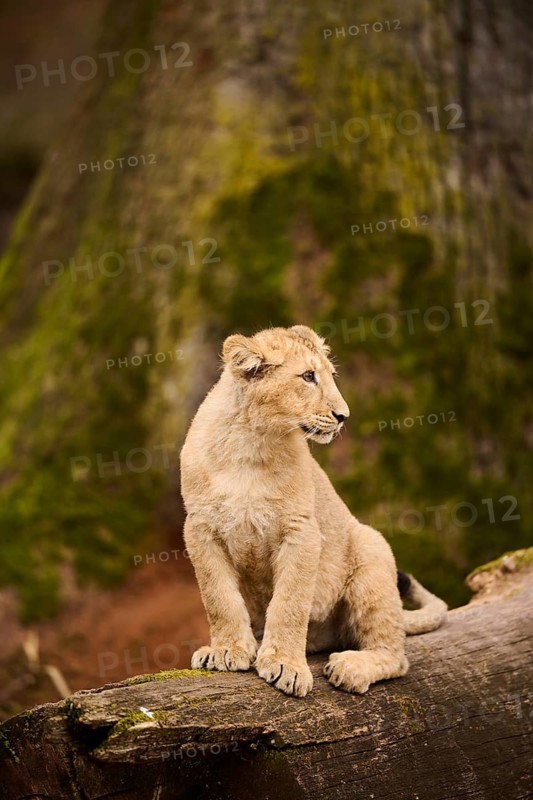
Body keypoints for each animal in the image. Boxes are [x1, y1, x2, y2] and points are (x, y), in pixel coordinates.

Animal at [180, 325, 447, 697]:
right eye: (308, 376)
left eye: (330, 375)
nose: (343, 416)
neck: (252, 442)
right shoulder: (200, 529)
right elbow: (218, 598)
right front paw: (227, 650)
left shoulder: (301, 532)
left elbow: (290, 603)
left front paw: (285, 665)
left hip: (371, 549)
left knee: (395, 655)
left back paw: (352, 667)